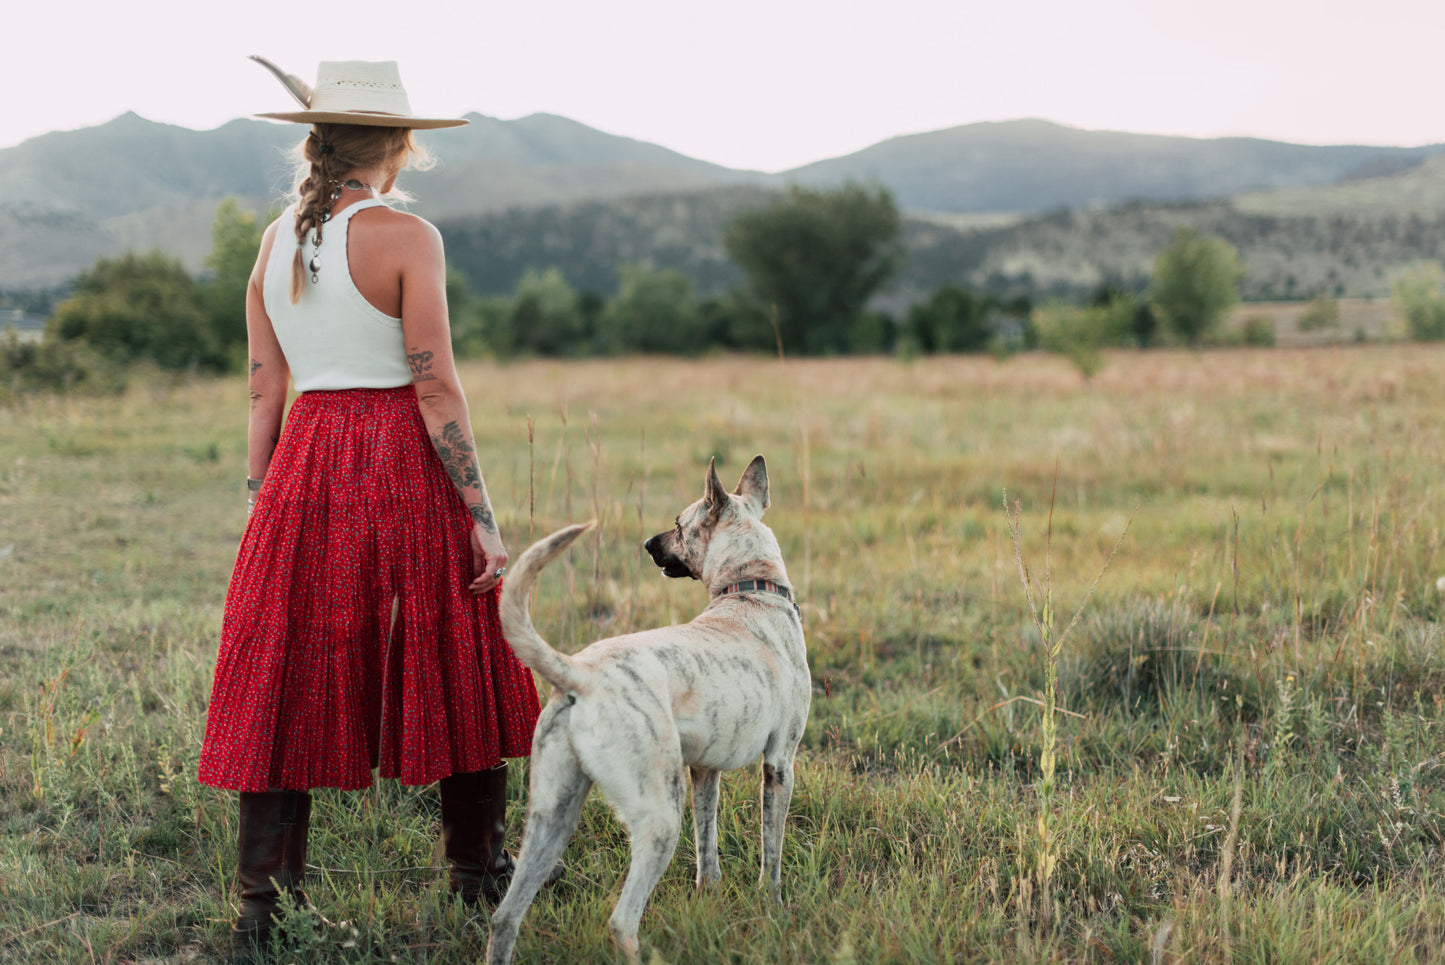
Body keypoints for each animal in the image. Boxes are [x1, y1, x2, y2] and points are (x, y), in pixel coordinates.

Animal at [488, 453, 814, 965]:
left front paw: (709, 895)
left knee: (505, 917)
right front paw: (772, 905)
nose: (646, 544)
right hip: (659, 818)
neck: (750, 588)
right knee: (622, 921)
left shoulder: (704, 772)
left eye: (678, 526)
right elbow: (772, 853)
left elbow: (707, 847)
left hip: (552, 817)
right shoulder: (780, 765)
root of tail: (581, 672)